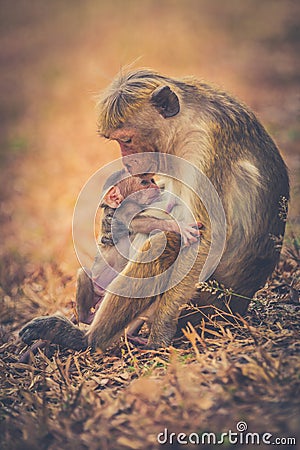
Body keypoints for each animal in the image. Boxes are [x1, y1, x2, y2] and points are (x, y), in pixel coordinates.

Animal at [19, 69, 290, 352]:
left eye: (126, 139)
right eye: (118, 141)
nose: (127, 162)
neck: (187, 121)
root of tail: (239, 306)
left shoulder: (203, 145)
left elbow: (203, 239)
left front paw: (161, 331)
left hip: (206, 303)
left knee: (164, 242)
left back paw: (87, 339)